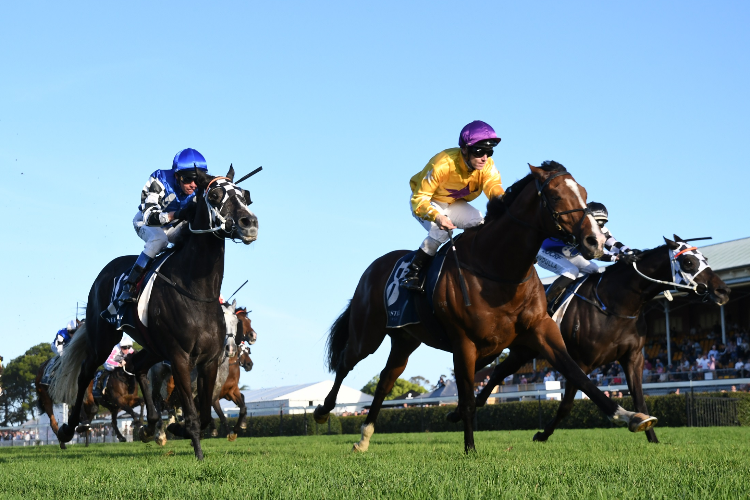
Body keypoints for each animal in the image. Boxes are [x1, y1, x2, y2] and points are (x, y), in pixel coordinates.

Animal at [49, 165, 258, 460]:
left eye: (245, 195)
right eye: (215, 195)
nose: (249, 223)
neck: (196, 289)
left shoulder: (207, 361)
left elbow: (205, 414)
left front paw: (176, 429)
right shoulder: (180, 358)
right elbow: (193, 413)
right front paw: (197, 452)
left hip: (154, 346)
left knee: (136, 365)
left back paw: (149, 427)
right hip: (103, 338)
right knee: (86, 372)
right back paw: (68, 429)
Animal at [314, 162, 656, 452]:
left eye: (583, 194)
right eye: (557, 195)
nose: (594, 241)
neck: (496, 267)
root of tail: (374, 267)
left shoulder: (541, 331)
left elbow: (577, 376)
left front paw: (631, 417)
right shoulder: (464, 341)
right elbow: (466, 396)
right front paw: (470, 450)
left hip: (405, 339)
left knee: (386, 379)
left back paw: (364, 437)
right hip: (367, 333)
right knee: (345, 362)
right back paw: (322, 411)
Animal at [478, 236, 732, 444]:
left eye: (705, 258)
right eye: (688, 262)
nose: (723, 291)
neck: (616, 304)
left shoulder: (633, 358)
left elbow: (640, 399)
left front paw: (652, 437)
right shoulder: (582, 361)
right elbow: (566, 405)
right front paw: (542, 434)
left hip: (524, 351)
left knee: (499, 371)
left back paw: (478, 402)